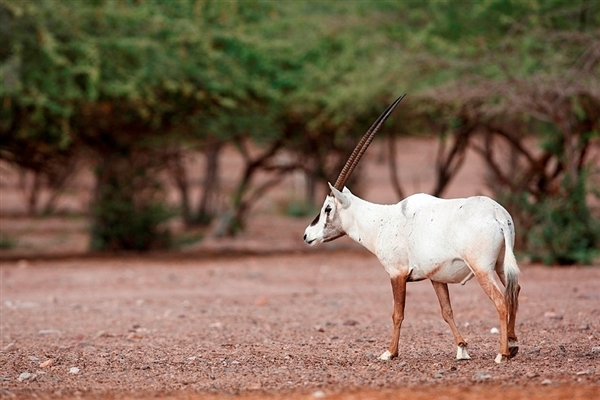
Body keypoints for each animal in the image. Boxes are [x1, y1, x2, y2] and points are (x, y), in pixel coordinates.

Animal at [304, 95, 520, 364]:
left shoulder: (397, 274)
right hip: (501, 264)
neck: (381, 220)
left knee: (501, 301)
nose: (307, 235)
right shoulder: (436, 277)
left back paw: (502, 353)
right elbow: (446, 311)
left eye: (327, 208)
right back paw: (513, 344)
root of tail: (498, 215)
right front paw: (461, 348)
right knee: (514, 292)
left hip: (482, 268)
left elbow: (397, 313)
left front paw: (389, 352)